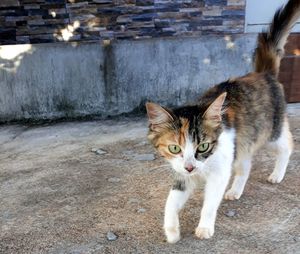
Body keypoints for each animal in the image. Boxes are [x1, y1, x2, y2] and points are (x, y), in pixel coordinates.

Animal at [145, 0, 298, 244]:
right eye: (175, 148)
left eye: (203, 146)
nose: (190, 167)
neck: (203, 167)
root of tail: (263, 74)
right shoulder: (181, 175)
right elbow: (170, 202)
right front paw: (171, 231)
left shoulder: (219, 172)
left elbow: (209, 205)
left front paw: (205, 227)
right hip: (243, 143)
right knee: (245, 165)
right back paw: (236, 191)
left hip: (271, 132)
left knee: (288, 145)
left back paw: (277, 174)